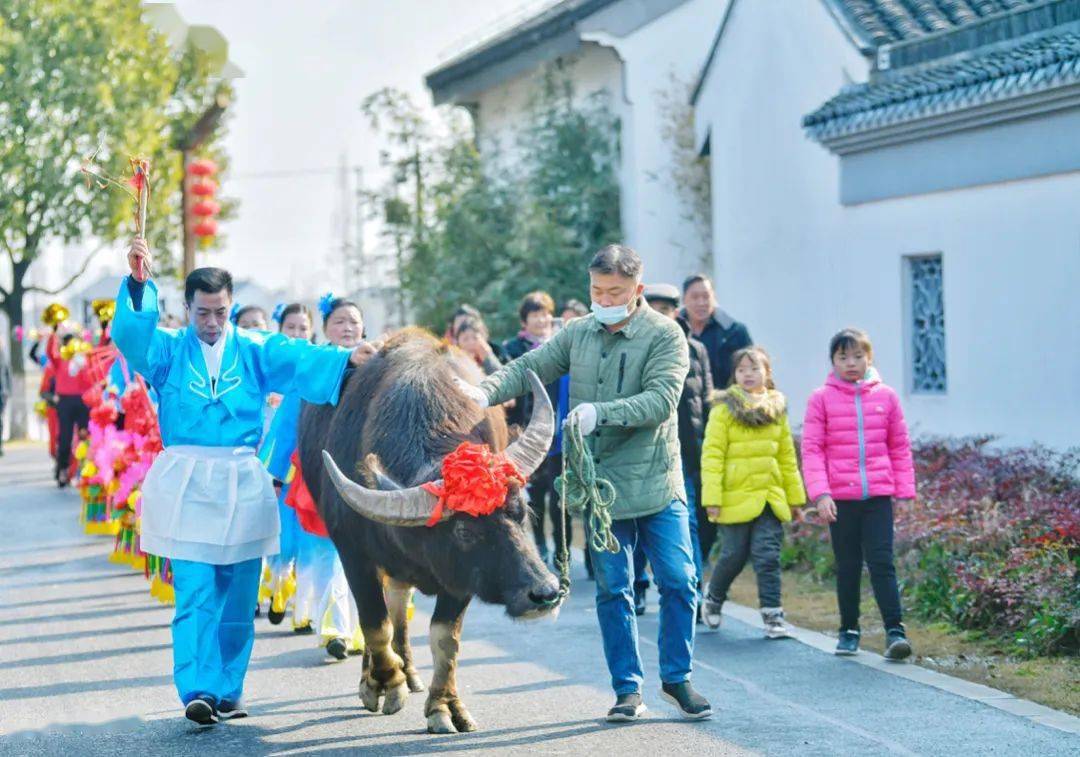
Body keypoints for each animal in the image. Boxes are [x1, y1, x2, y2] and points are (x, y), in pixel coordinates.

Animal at [298, 328, 561, 734]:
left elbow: (444, 638)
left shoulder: (460, 576)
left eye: (521, 510)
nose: (545, 593)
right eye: (464, 531)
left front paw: (445, 707)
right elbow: (375, 624)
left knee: (399, 602)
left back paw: (410, 671)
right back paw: (377, 676)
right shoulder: (353, 552)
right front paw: (386, 684)